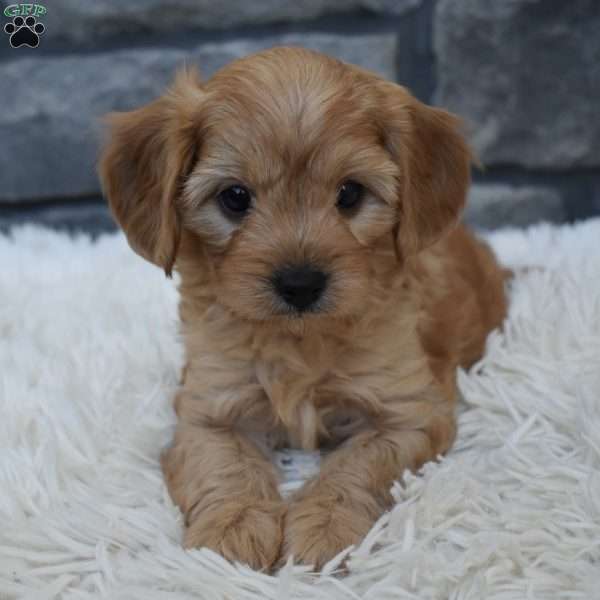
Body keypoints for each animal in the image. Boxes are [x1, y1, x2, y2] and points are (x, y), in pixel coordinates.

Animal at [98, 47, 506, 572]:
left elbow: (356, 466)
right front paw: (231, 529)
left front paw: (324, 531)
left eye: (350, 194)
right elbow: (226, 467)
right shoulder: (208, 409)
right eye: (235, 197)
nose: (300, 283)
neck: (297, 337)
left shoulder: (408, 412)